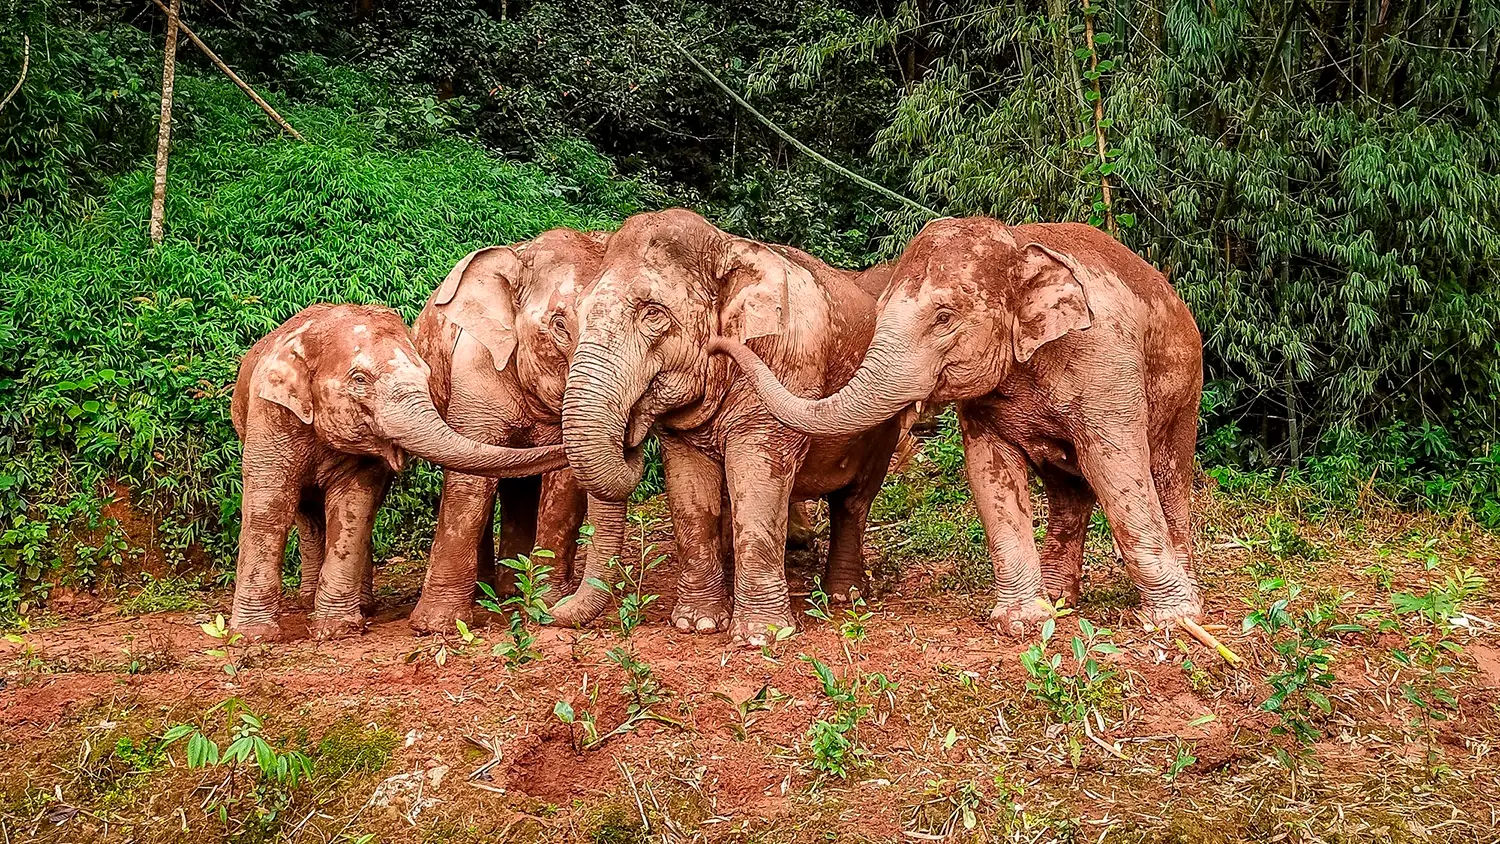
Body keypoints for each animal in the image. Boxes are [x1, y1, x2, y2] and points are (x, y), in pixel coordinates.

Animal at [229, 303, 570, 641]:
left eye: (427, 375)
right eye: (359, 380)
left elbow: (353, 506)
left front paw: (337, 631)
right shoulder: (269, 413)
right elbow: (268, 505)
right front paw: (253, 637)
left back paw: (360, 607)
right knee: (305, 513)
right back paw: (307, 602)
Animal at [405, 229, 628, 634]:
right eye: (559, 325)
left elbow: (566, 482)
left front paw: (547, 605)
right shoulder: (474, 371)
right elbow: (470, 481)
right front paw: (435, 627)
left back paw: (511, 590)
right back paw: (488, 591)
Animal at [551, 209, 906, 646]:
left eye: (653, 313)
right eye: (573, 319)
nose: (552, 610)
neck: (725, 246)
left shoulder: (786, 361)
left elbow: (758, 479)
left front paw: (761, 636)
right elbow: (689, 492)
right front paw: (697, 624)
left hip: (883, 422)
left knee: (854, 500)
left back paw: (844, 595)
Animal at [712, 218, 1205, 635]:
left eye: (944, 317)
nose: (720, 343)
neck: (1016, 241)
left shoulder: (1104, 360)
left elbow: (1116, 468)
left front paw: (1172, 620)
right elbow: (990, 472)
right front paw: (1023, 622)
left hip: (1186, 387)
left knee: (1167, 473)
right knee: (1068, 491)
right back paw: (1059, 598)